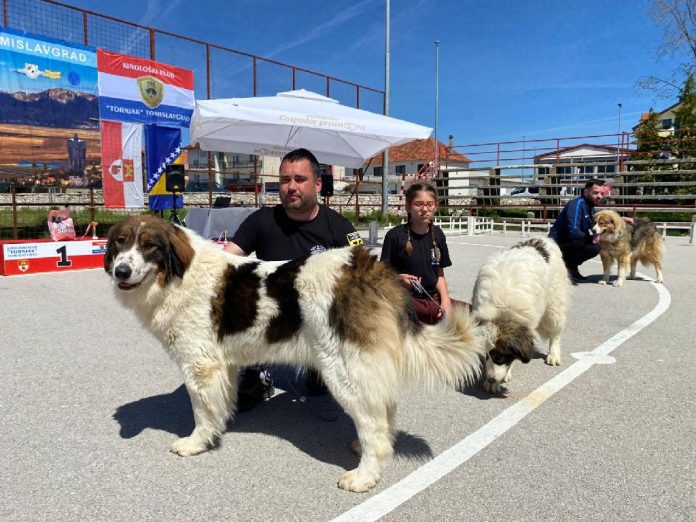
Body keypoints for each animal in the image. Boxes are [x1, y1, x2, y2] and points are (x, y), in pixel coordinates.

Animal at [104, 215, 483, 493]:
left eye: (149, 246)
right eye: (121, 242)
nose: (121, 270)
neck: (176, 278)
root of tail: (368, 266)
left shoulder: (200, 365)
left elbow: (201, 411)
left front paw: (196, 443)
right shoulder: (222, 366)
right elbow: (219, 405)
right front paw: (218, 430)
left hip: (342, 368)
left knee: (373, 422)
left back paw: (364, 475)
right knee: (383, 411)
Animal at [471, 237, 571, 393]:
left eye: (500, 358)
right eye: (486, 355)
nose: (491, 379)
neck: (501, 312)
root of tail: (543, 239)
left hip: (554, 305)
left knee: (555, 332)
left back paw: (553, 354)